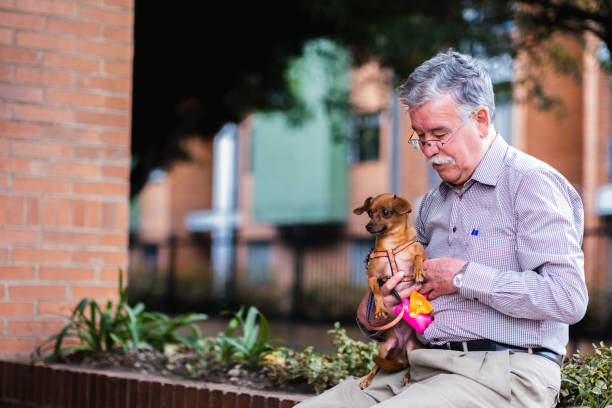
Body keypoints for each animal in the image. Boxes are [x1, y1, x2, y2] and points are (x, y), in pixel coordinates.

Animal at [354, 194, 426, 388]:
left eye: (386, 212)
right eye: (370, 213)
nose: (368, 226)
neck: (390, 245)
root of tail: (400, 354)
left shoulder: (423, 255)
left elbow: (418, 256)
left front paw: (418, 271)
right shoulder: (372, 278)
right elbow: (378, 292)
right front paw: (380, 309)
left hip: (412, 349)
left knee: (412, 366)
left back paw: (408, 376)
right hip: (385, 348)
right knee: (377, 366)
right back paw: (367, 379)